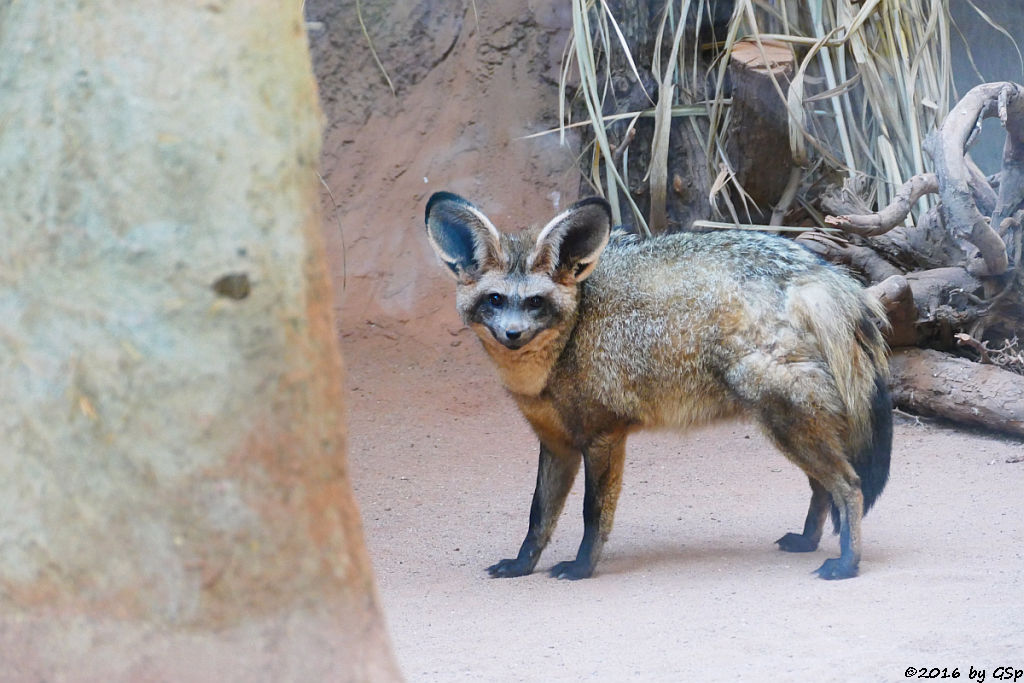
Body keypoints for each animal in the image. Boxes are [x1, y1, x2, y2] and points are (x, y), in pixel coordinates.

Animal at [421, 192, 888, 581]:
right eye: (495, 300)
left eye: (536, 302)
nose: (513, 334)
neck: (568, 343)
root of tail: (817, 271)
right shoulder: (557, 444)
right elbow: (538, 516)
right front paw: (521, 565)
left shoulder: (603, 436)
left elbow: (593, 514)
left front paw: (581, 568)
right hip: (789, 426)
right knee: (822, 486)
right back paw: (808, 542)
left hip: (785, 420)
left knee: (848, 485)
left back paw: (847, 563)